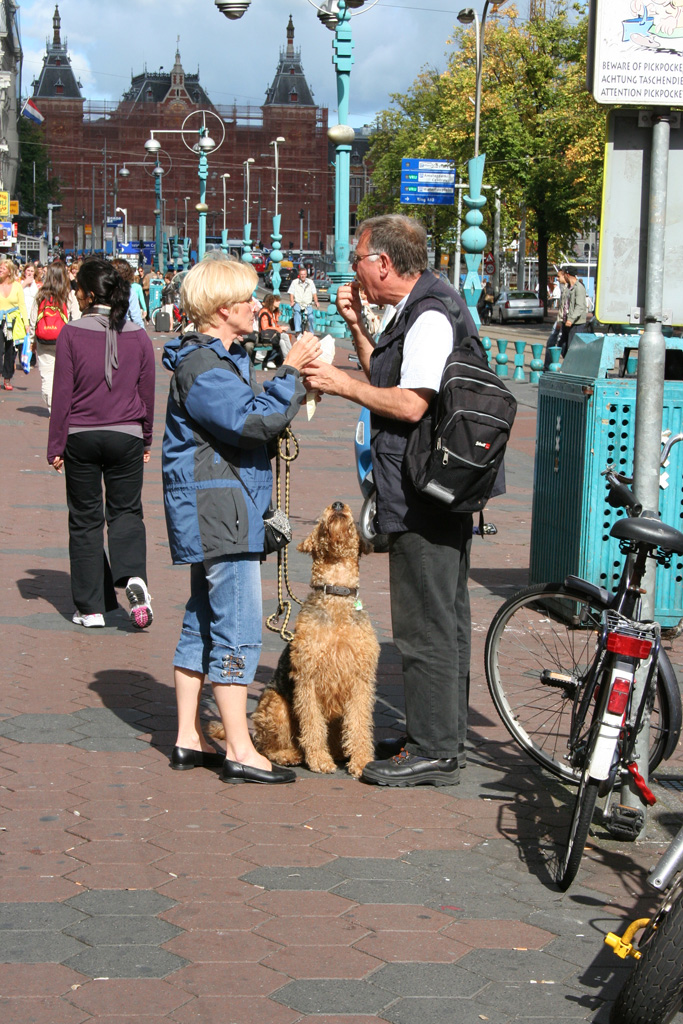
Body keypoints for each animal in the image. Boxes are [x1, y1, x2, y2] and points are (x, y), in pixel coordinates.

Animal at [250, 501, 378, 774]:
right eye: (320, 522)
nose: (338, 504)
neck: (336, 594)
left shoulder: (361, 680)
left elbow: (359, 724)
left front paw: (361, 761)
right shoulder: (307, 679)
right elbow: (312, 725)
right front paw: (319, 759)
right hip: (276, 705)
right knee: (268, 746)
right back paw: (290, 755)